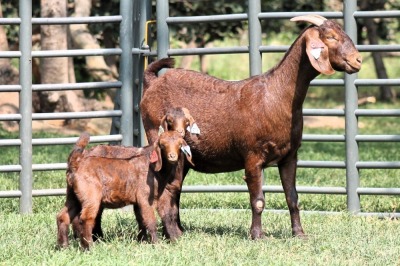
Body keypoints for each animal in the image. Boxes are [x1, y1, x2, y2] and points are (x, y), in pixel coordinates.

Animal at [141, 14, 362, 240]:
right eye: (331, 36)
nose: (357, 60)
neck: (275, 95)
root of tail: (153, 81)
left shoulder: (290, 157)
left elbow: (292, 197)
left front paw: (299, 233)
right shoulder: (253, 156)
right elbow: (258, 200)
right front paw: (257, 235)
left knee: (175, 189)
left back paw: (173, 230)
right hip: (160, 139)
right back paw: (168, 233)